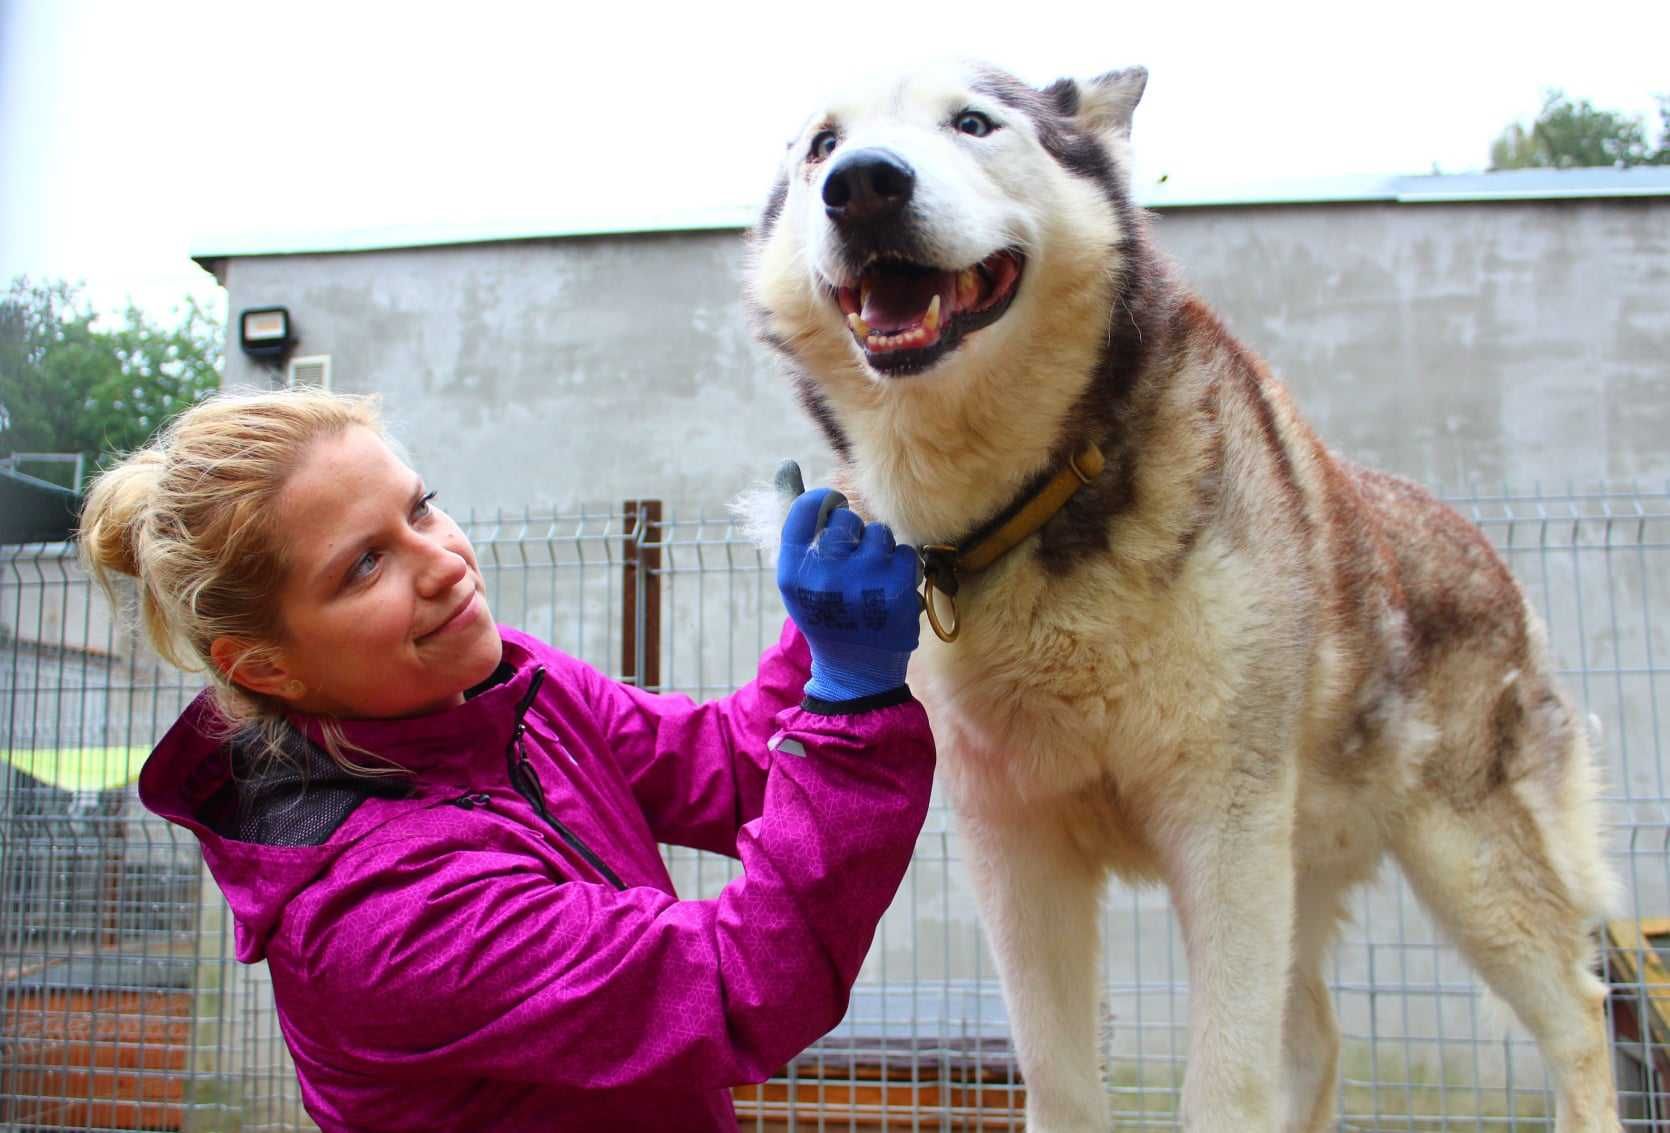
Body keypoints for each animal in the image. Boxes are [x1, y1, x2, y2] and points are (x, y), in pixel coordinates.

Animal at [744, 62, 1616, 1133]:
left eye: (974, 122)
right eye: (821, 146)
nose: (863, 184)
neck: (1036, 500)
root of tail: (1489, 553)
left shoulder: (1225, 834)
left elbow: (1226, 1086)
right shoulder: (1016, 849)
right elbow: (1062, 1079)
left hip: (1467, 865)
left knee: (1577, 1011)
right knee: (1318, 1041)